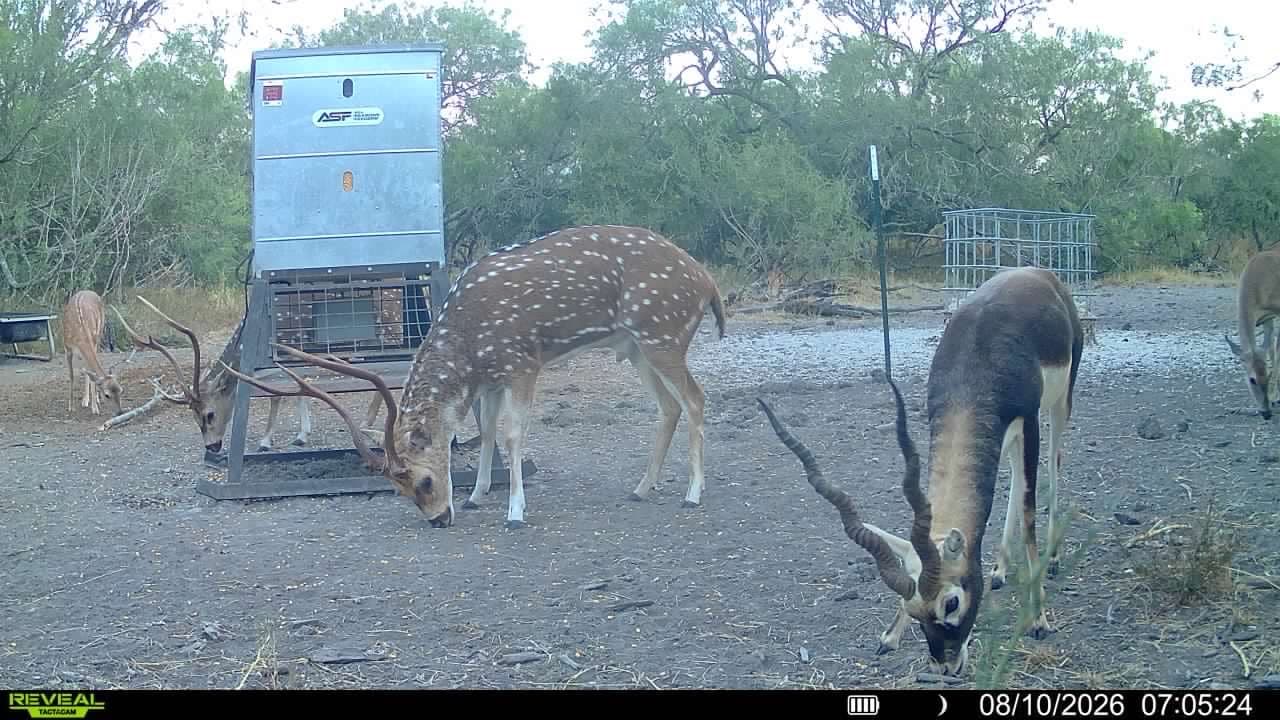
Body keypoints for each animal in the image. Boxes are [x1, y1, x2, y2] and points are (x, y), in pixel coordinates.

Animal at [115, 296, 384, 454]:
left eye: (209, 414)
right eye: (192, 417)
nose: (212, 447)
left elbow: (278, 394)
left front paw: (266, 441)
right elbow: (300, 388)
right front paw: (301, 435)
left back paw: (367, 423)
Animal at [220, 224, 728, 530]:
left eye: (421, 481)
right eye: (397, 489)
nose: (438, 519)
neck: (468, 348)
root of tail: (708, 283)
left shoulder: (523, 362)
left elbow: (512, 434)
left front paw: (515, 511)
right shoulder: (491, 378)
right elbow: (484, 434)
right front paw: (476, 497)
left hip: (663, 335)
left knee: (696, 399)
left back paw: (693, 494)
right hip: (638, 347)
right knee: (668, 407)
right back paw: (641, 488)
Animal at [758, 266, 1084, 677]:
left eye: (951, 603)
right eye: (914, 612)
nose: (946, 666)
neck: (975, 363)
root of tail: (1037, 273)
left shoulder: (1027, 420)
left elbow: (1028, 512)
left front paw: (1039, 618)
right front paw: (890, 635)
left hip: (1058, 403)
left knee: (1054, 463)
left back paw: (1052, 560)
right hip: (1007, 436)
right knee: (1012, 474)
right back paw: (999, 569)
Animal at [1224, 245, 1280, 420]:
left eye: (1267, 375)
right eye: (1252, 380)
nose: (1266, 413)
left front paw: (1275, 396)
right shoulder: (1267, 318)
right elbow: (1270, 349)